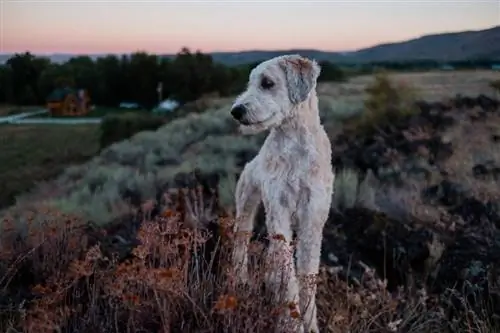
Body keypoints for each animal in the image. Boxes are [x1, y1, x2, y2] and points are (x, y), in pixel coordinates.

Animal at [231, 53, 334, 330]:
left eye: (267, 83)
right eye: (250, 82)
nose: (236, 111)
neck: (296, 147)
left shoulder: (312, 220)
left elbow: (306, 277)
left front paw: (310, 324)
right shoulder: (278, 212)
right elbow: (289, 280)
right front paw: (291, 324)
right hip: (245, 207)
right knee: (241, 245)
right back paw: (240, 281)